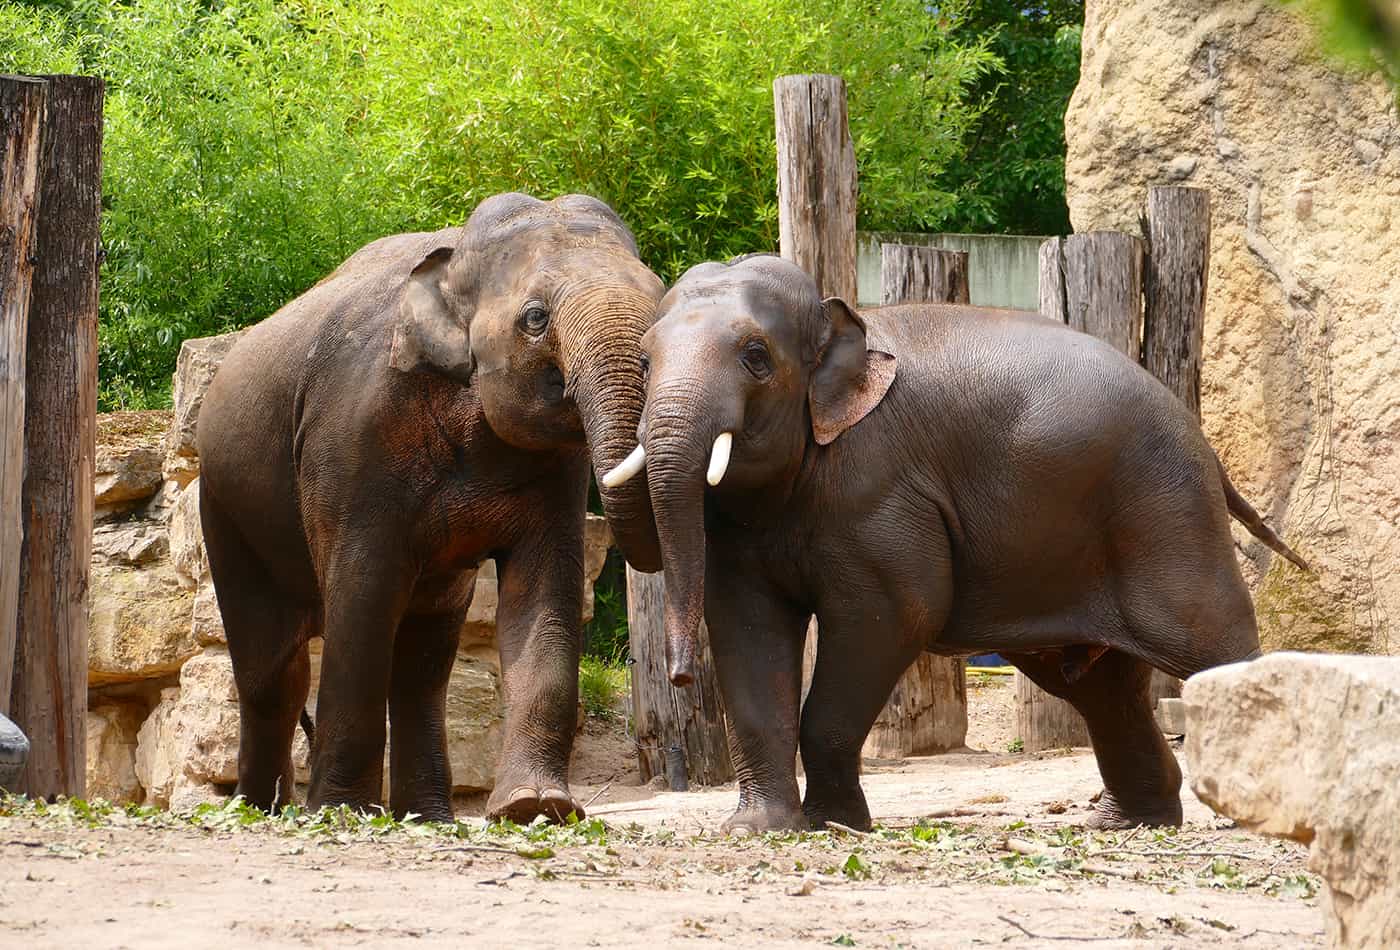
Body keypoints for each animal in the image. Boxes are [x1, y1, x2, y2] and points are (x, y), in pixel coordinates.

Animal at [196, 193, 666, 822]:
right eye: (535, 317)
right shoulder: (352, 442)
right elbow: (362, 596)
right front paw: (340, 812)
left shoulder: (559, 467)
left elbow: (542, 594)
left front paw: (534, 808)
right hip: (226, 508)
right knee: (274, 668)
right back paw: (259, 812)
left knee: (421, 662)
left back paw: (427, 816)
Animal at [607, 256, 1304, 833]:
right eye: (642, 363)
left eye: (756, 355)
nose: (677, 674)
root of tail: (1202, 438)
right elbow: (746, 628)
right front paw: (760, 830)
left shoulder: (881, 491)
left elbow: (894, 615)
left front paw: (837, 824)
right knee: (1102, 687)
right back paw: (1129, 822)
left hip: (1169, 513)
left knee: (1213, 649)